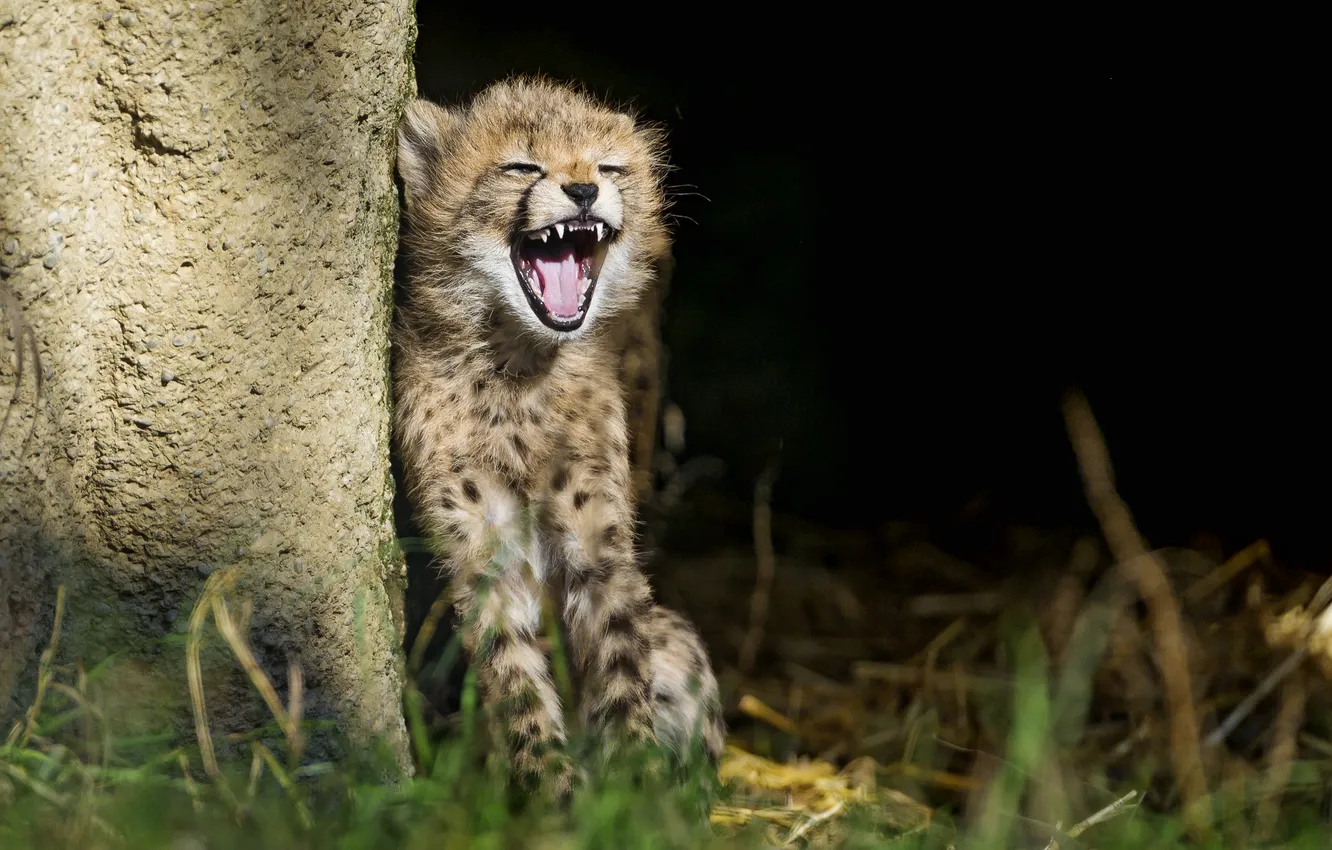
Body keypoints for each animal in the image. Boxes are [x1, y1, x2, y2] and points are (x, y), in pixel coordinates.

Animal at [392, 77, 723, 796]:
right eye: (522, 166)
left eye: (610, 167)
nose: (582, 191)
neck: (520, 368)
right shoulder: (481, 546)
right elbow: (513, 675)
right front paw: (549, 789)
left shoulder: (597, 538)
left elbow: (621, 658)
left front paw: (629, 789)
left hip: (677, 640)